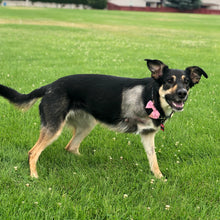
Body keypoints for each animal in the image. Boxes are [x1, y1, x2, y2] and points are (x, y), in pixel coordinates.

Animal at [0, 59, 208, 178]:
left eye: (187, 83)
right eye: (169, 81)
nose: (182, 94)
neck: (151, 96)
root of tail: (50, 86)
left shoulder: (148, 134)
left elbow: (153, 159)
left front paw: (159, 178)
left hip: (87, 124)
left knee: (70, 147)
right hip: (54, 128)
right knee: (33, 152)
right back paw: (34, 176)